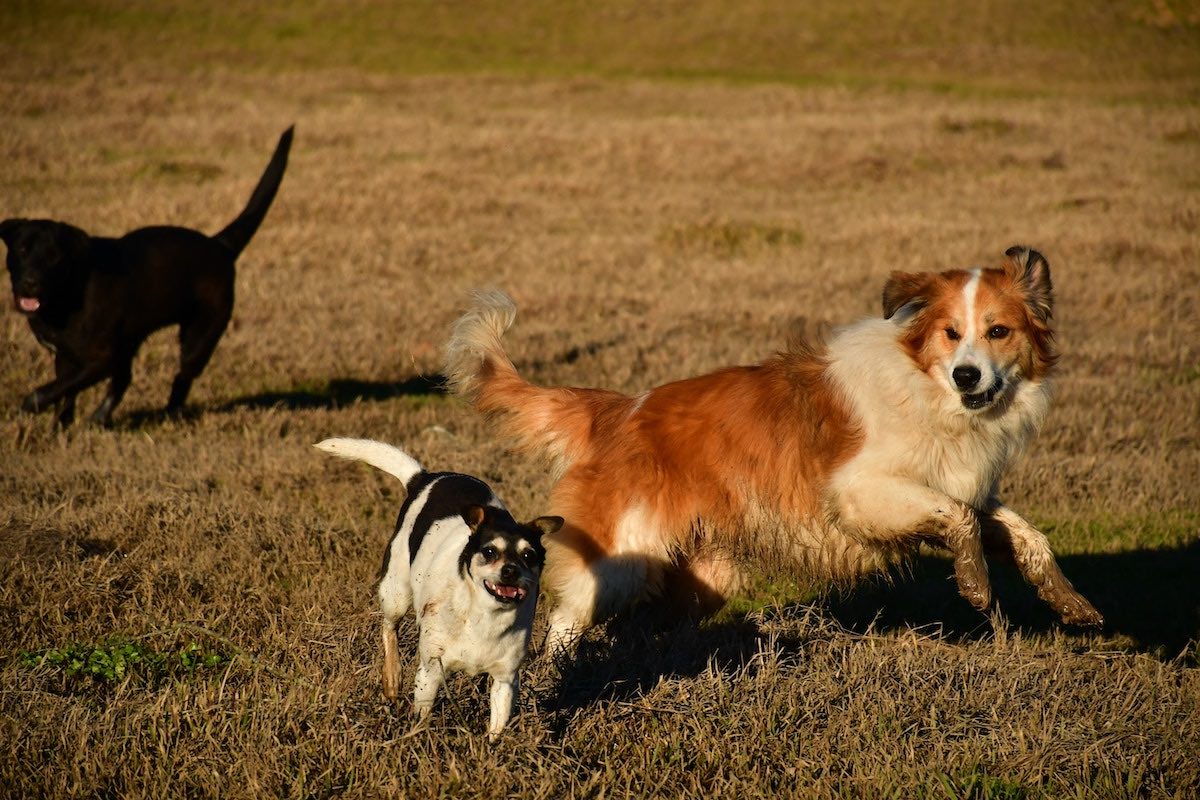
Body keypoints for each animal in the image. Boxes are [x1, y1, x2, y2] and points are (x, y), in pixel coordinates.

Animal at [1, 125, 295, 424]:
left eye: (54, 257)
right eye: (22, 250)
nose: (30, 282)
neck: (70, 291)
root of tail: (220, 244)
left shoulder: (101, 358)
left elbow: (53, 390)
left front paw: (32, 404)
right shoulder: (65, 357)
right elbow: (65, 393)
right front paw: (61, 426)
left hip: (200, 335)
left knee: (181, 378)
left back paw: (169, 415)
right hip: (133, 340)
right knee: (125, 380)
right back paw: (101, 418)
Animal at [316, 438, 564, 738]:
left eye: (529, 555)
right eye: (489, 552)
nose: (510, 571)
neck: (484, 616)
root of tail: (424, 477)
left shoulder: (505, 681)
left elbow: (497, 727)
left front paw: (493, 747)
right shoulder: (430, 672)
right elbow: (422, 716)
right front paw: (418, 737)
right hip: (395, 591)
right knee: (389, 628)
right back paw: (392, 676)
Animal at [448, 245, 1104, 652]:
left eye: (999, 331)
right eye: (951, 333)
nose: (969, 376)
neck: (927, 388)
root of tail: (619, 410)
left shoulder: (958, 484)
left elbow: (1024, 533)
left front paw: (1070, 602)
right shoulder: (861, 491)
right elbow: (960, 517)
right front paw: (975, 584)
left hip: (703, 576)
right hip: (615, 561)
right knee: (566, 622)